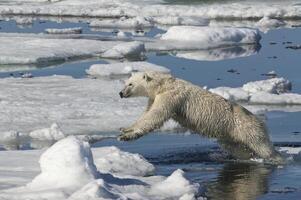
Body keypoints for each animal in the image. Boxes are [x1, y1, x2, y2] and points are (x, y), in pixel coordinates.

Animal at [119, 71, 282, 162]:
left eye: (130, 84)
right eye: (126, 82)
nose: (120, 93)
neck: (163, 84)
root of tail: (260, 121)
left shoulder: (171, 97)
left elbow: (155, 116)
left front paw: (127, 136)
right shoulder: (155, 97)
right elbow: (147, 113)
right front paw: (125, 129)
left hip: (247, 128)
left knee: (263, 147)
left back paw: (276, 159)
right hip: (230, 134)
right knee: (236, 147)